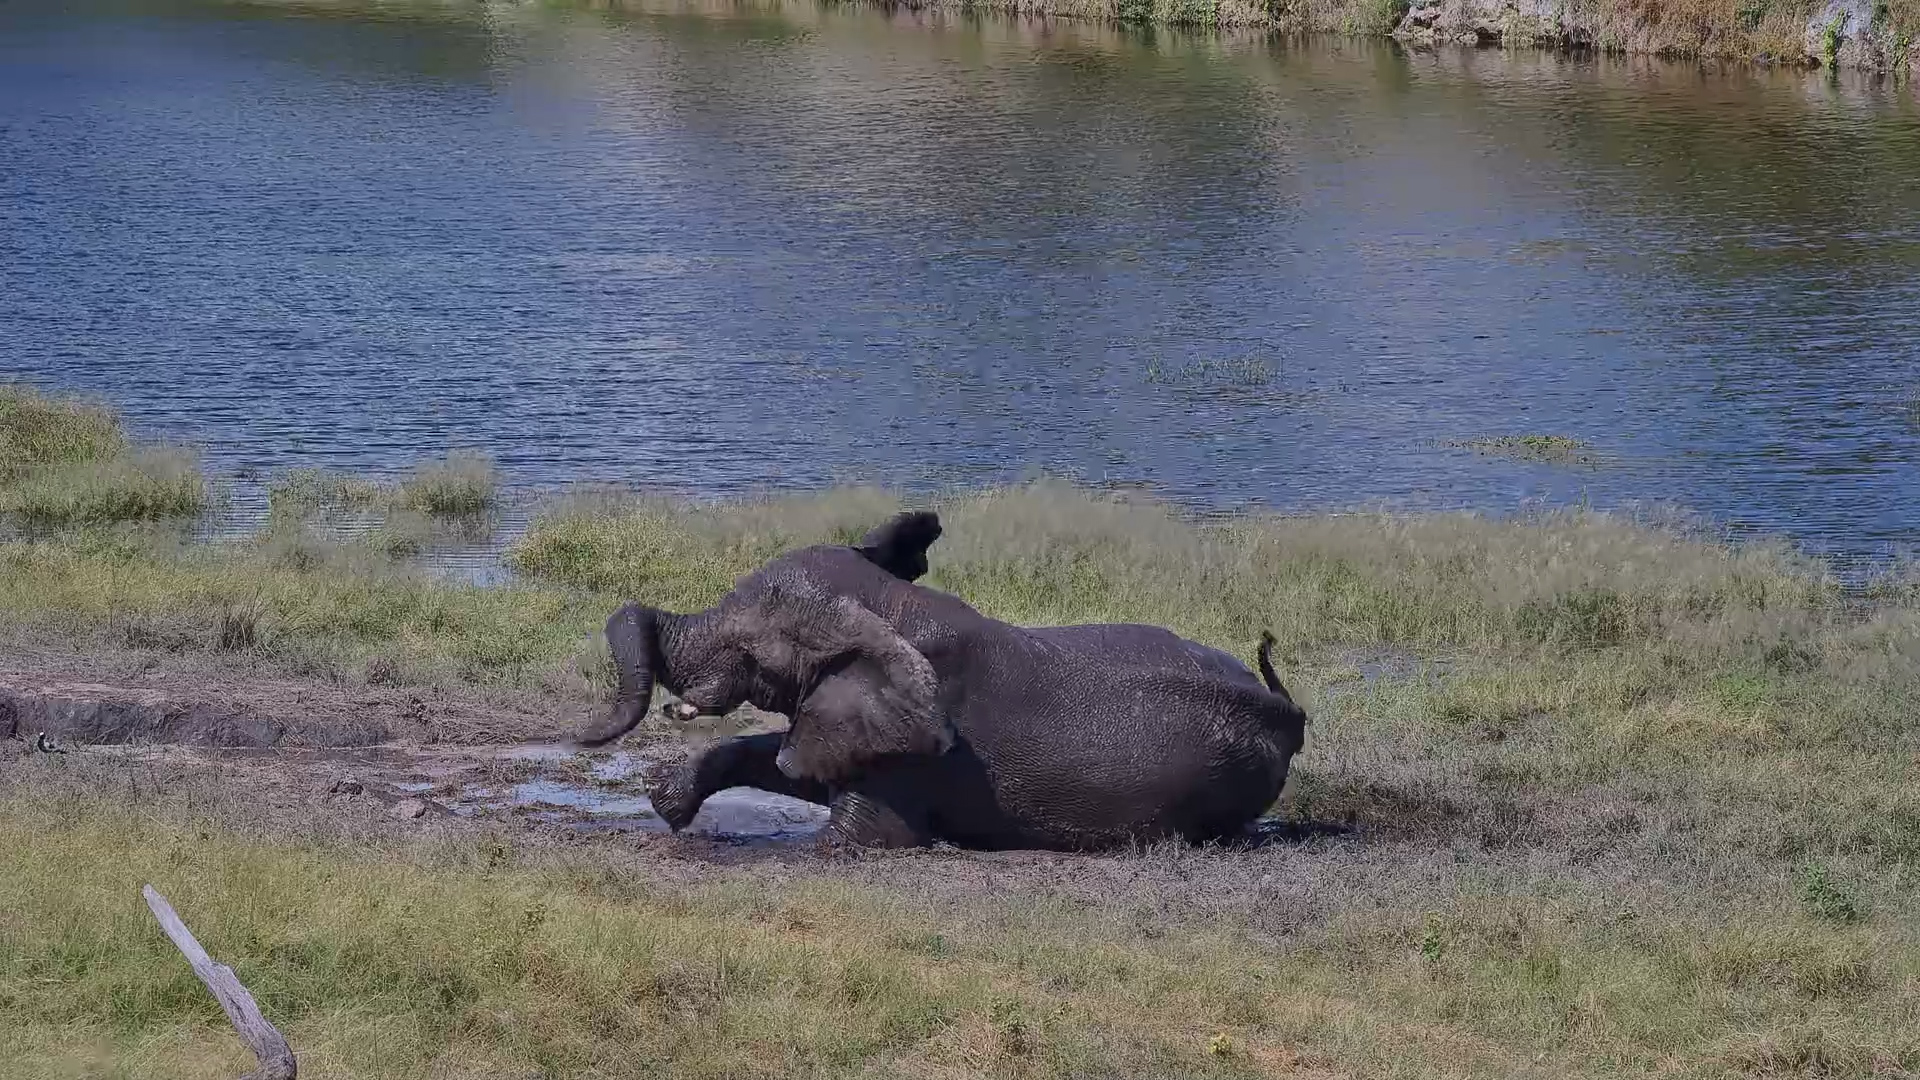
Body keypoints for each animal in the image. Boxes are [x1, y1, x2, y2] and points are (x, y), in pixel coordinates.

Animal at [568, 510, 1309, 851]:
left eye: (748, 646)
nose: (583, 735)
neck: (889, 608)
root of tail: (1289, 714)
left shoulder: (918, 746)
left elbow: (857, 834)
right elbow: (788, 761)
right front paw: (668, 802)